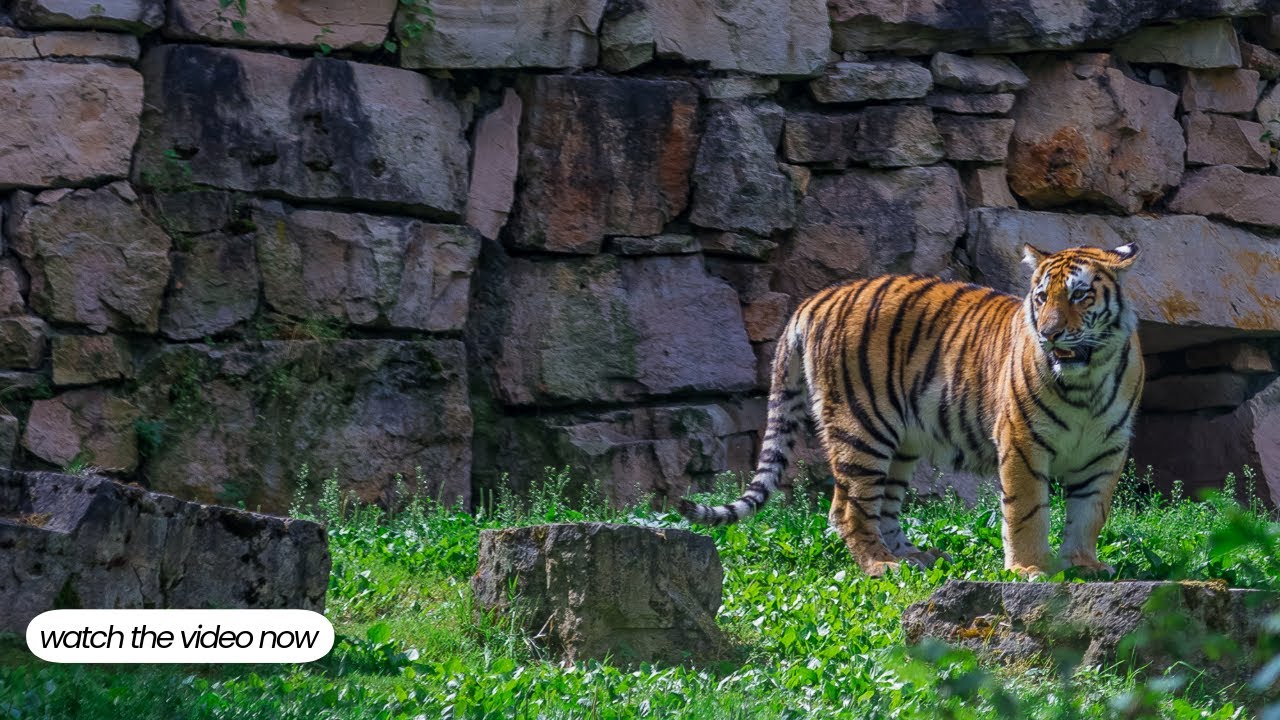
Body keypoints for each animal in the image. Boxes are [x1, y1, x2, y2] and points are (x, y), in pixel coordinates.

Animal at [679, 243, 1144, 578]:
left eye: (1080, 295)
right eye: (1042, 297)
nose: (1049, 334)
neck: (1086, 381)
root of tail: (818, 297)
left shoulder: (1107, 450)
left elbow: (1090, 511)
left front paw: (1083, 565)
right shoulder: (1022, 443)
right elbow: (1027, 510)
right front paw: (1030, 569)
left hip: (900, 444)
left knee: (881, 507)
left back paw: (914, 557)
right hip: (862, 428)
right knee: (846, 509)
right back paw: (880, 565)